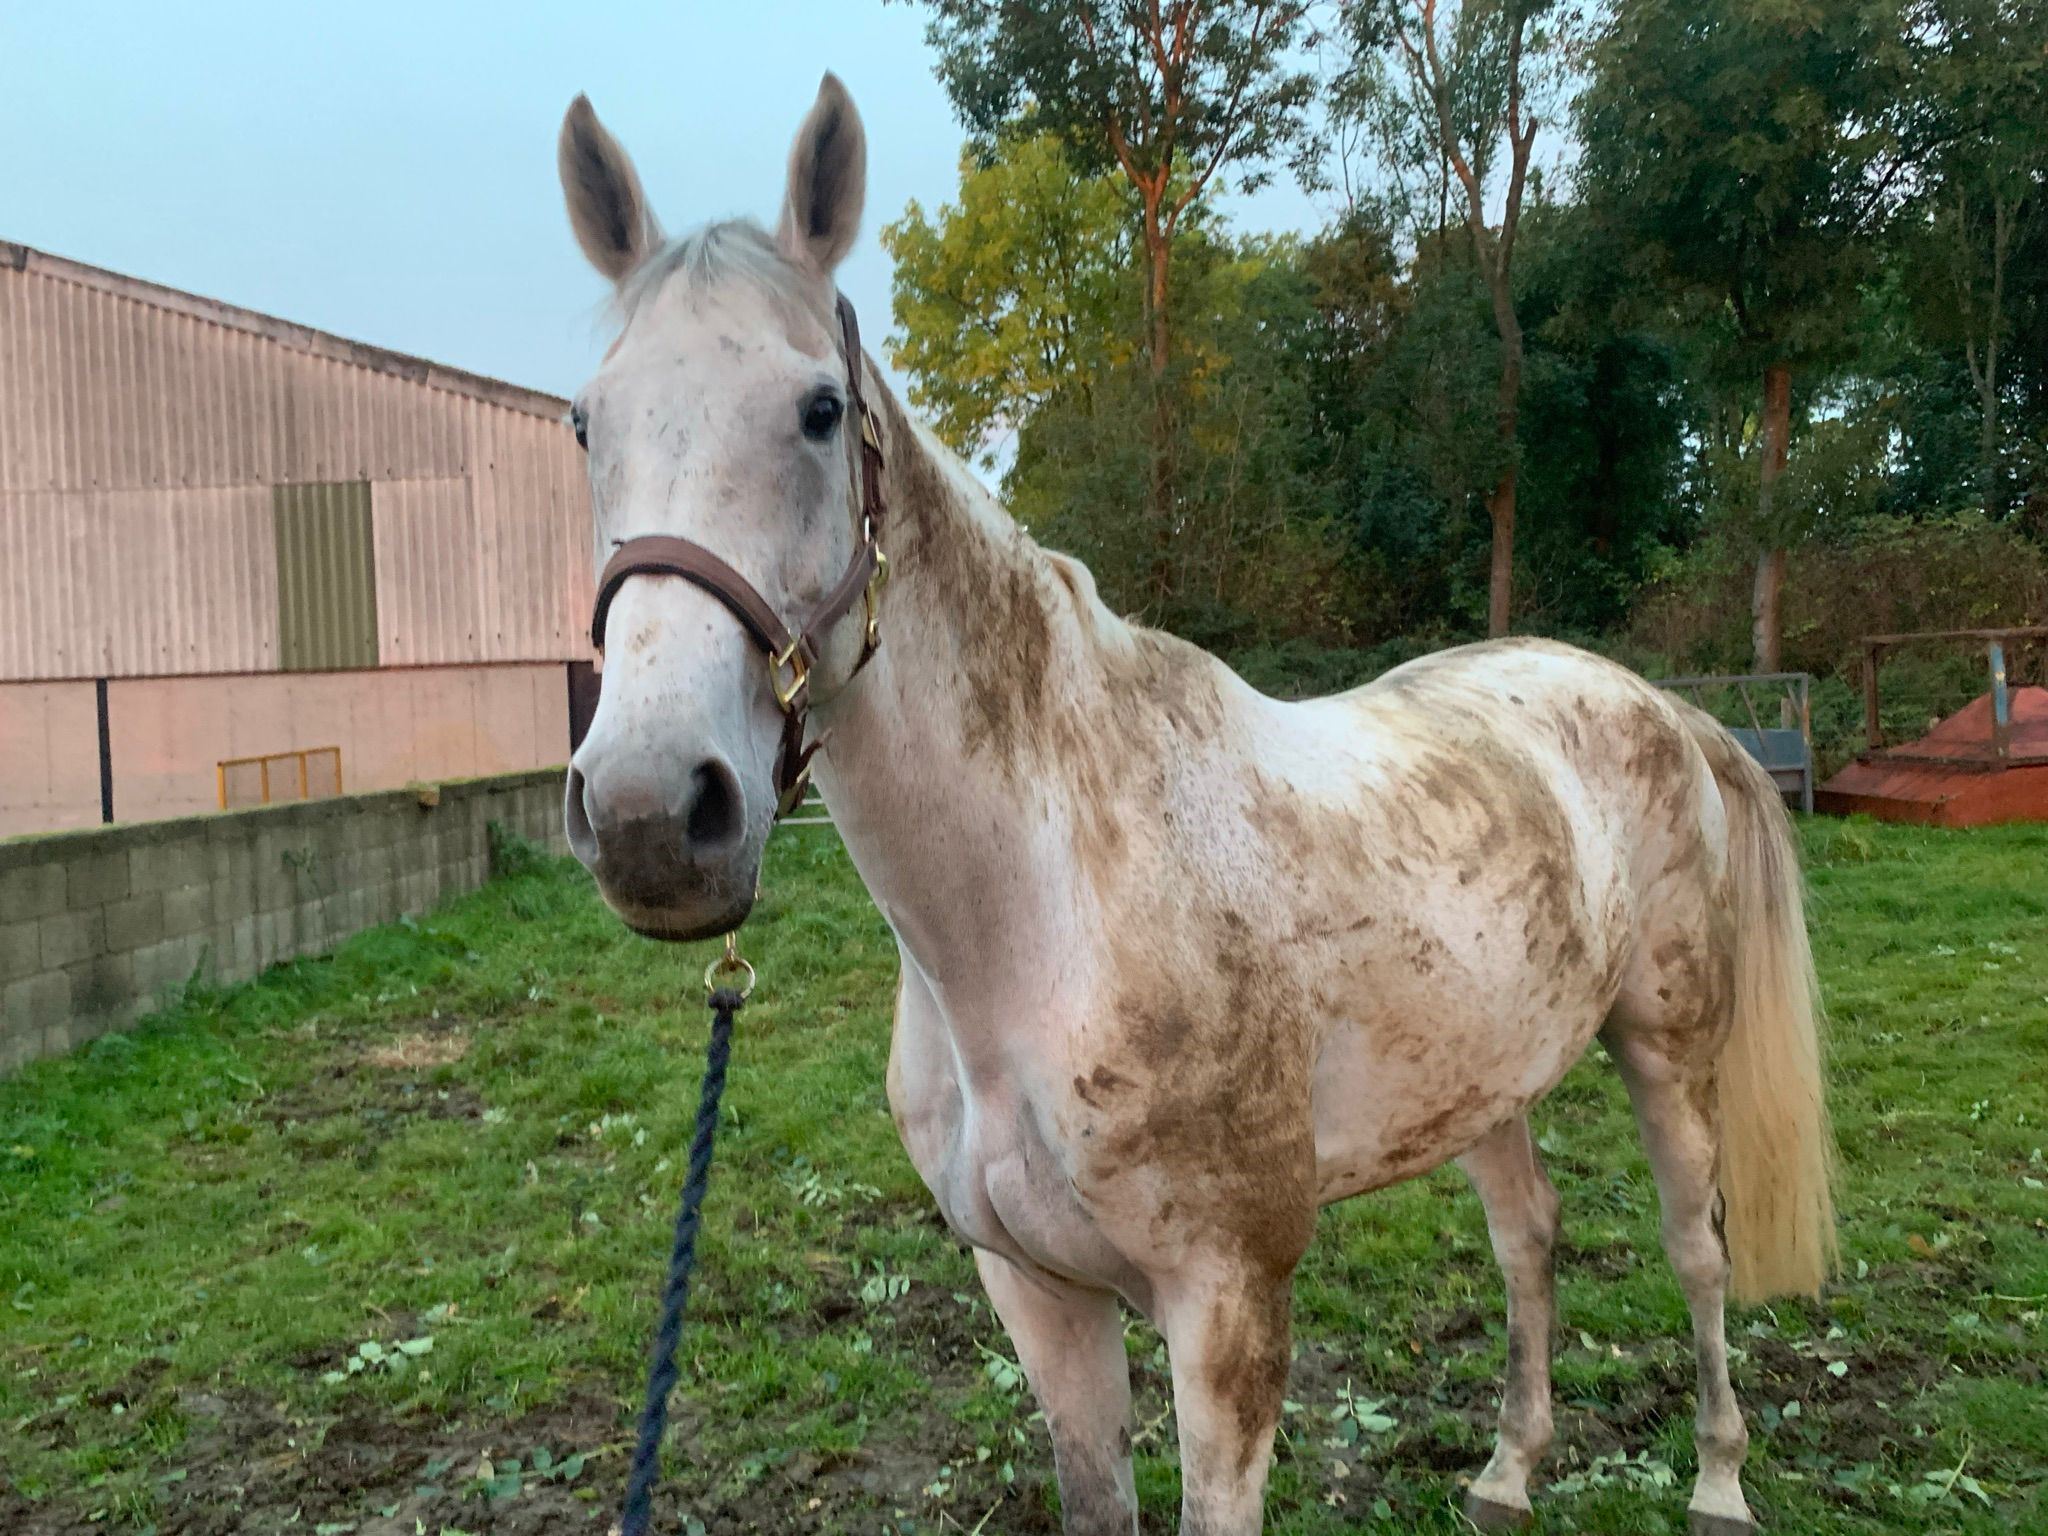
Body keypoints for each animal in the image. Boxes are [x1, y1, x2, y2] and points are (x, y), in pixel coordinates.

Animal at [553, 75, 1835, 1536]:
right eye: (586, 423)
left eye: (821, 411)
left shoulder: (1226, 1310)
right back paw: (1508, 1470)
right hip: (1485, 1078)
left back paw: (1719, 1480)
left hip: (1667, 1050)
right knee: (1528, 1235)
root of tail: (1665, 710)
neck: (1046, 911)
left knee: (1696, 1247)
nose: (652, 813)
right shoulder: (1039, 1297)